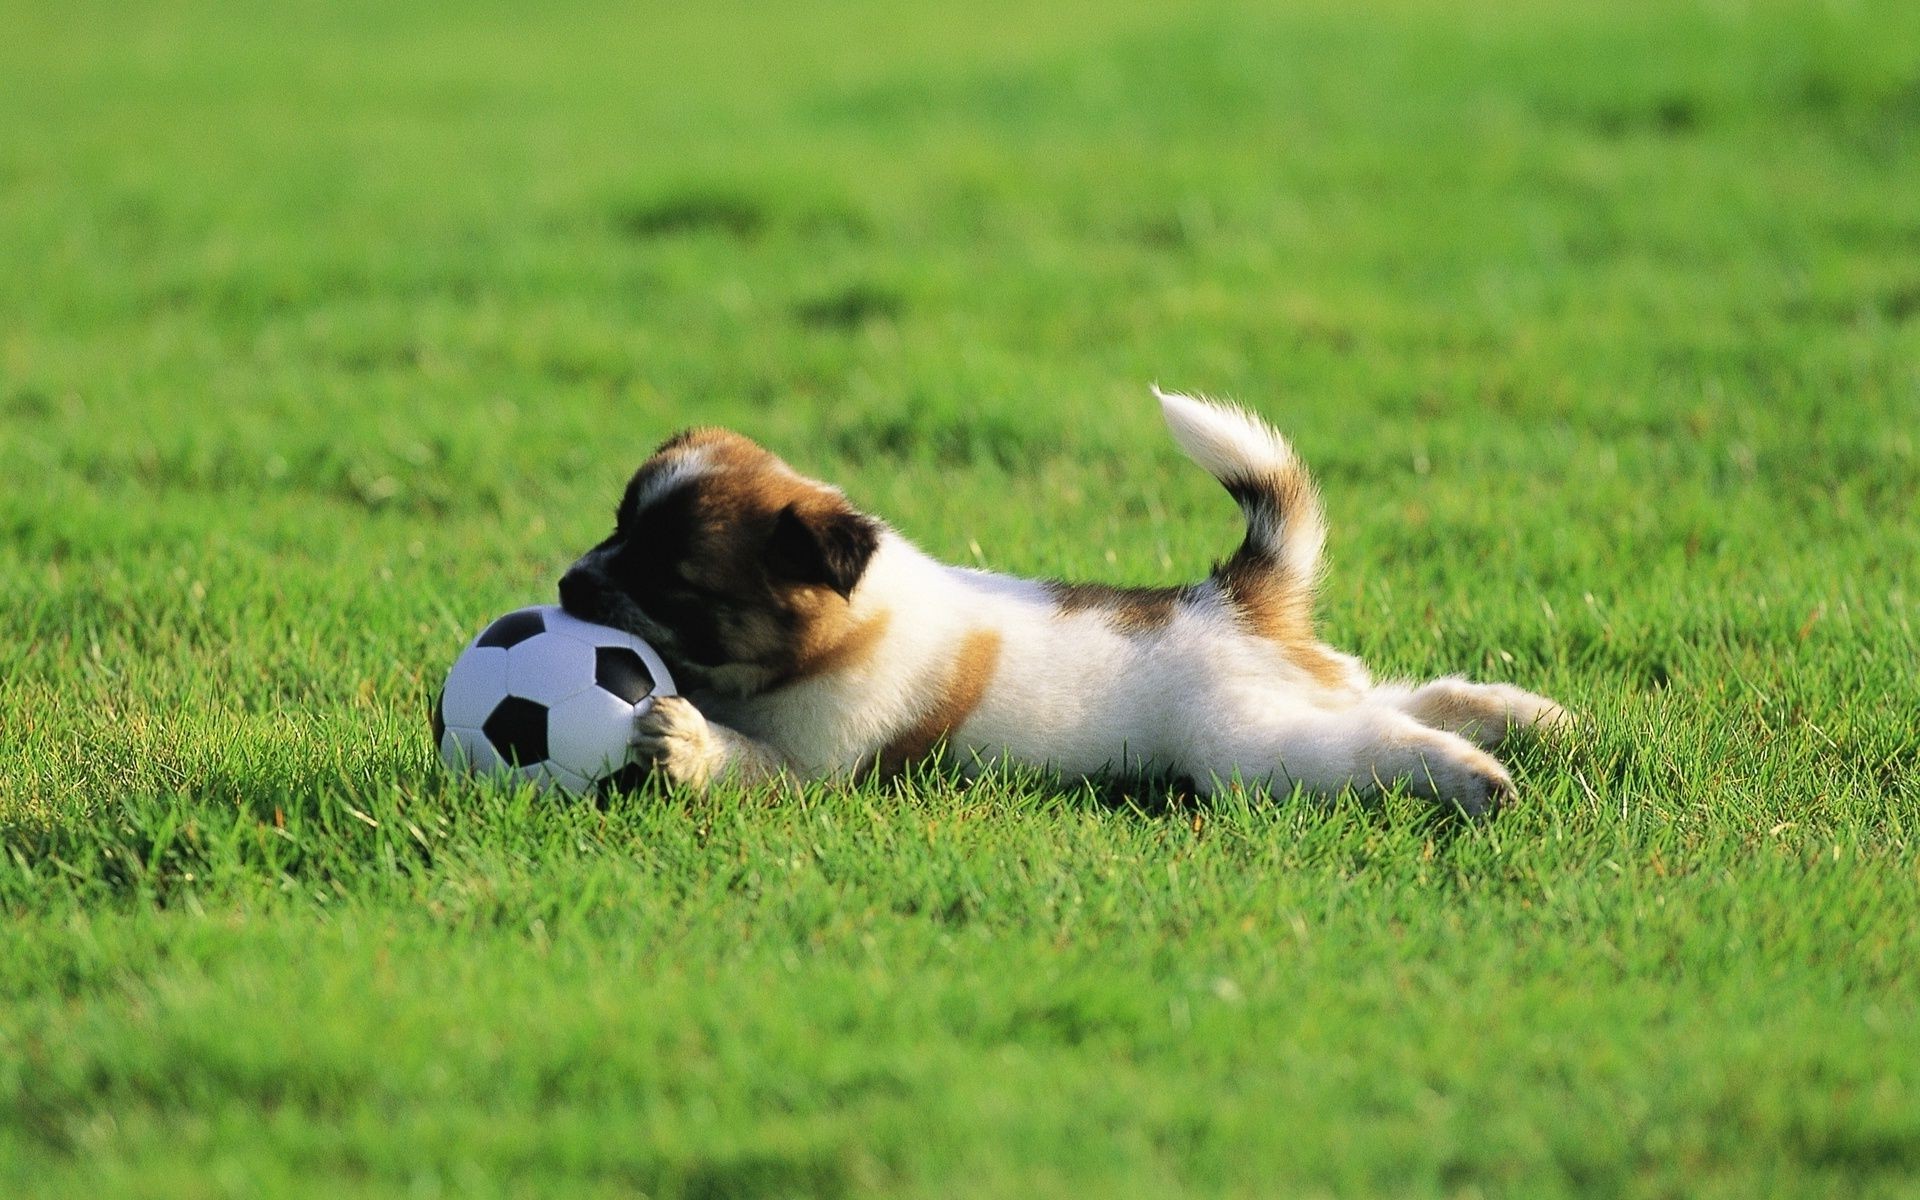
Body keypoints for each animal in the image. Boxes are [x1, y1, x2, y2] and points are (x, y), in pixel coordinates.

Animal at [552, 391, 1559, 814]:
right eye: (615, 526)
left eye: (673, 580)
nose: (565, 585)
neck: (842, 626)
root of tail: (1231, 599)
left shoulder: (815, 767)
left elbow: (739, 758)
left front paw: (682, 741)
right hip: (1300, 690)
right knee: (1401, 696)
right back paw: (1530, 719)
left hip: (1249, 745)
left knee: (1378, 738)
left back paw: (1476, 775)